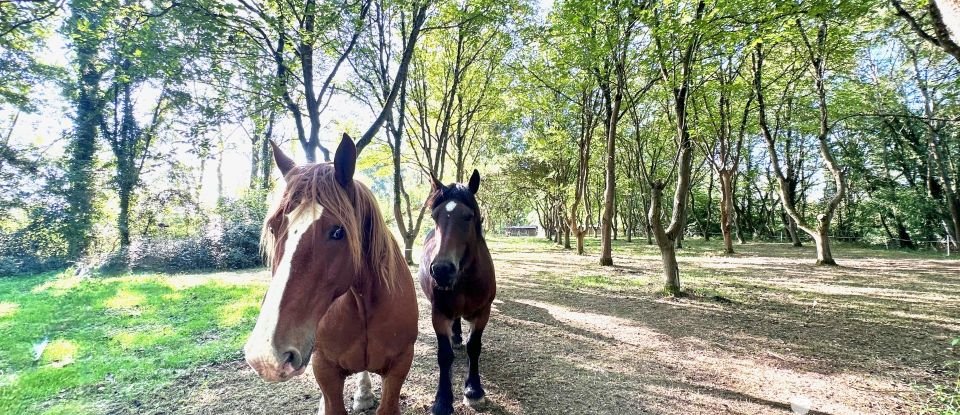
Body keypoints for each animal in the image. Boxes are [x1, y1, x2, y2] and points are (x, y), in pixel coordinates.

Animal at [418, 171, 498, 415]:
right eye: (435, 216)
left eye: (468, 217)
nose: (442, 270)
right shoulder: (439, 314)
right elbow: (444, 355)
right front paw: (442, 400)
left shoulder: (483, 312)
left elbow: (474, 347)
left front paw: (474, 390)